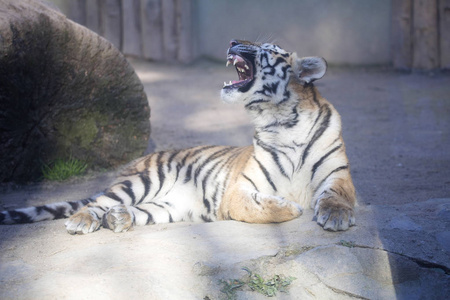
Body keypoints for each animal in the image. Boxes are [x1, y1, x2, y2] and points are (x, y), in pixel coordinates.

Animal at [0, 39, 358, 233]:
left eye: (266, 48)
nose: (232, 42)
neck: (282, 121)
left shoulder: (338, 175)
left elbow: (337, 196)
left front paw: (336, 216)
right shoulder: (240, 188)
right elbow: (256, 208)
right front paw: (290, 208)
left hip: (170, 206)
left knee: (136, 211)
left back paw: (119, 219)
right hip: (139, 182)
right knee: (97, 203)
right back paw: (83, 220)